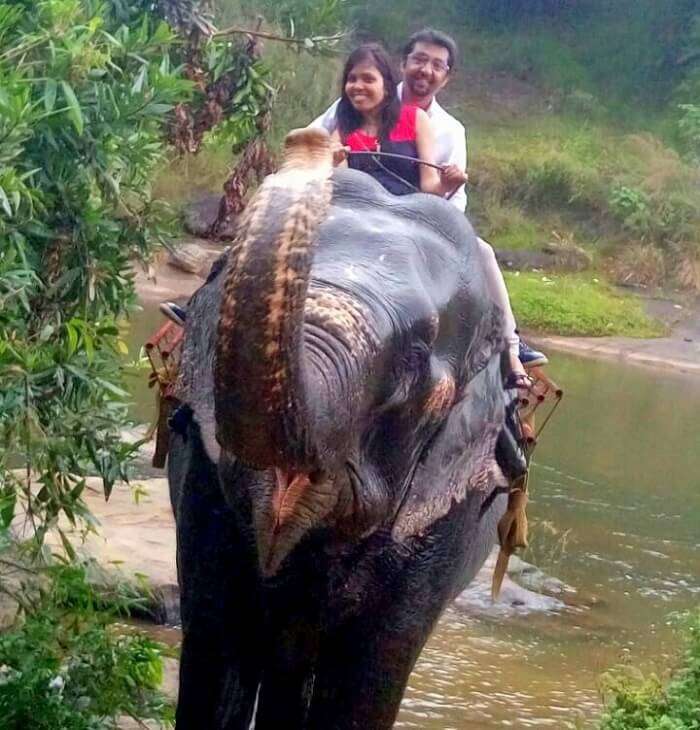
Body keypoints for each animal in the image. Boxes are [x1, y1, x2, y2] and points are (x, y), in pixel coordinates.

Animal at [167, 129, 524, 728]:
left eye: (414, 363)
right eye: (225, 273)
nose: (312, 140)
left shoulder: (445, 522)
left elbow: (364, 682)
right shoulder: (202, 472)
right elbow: (216, 642)